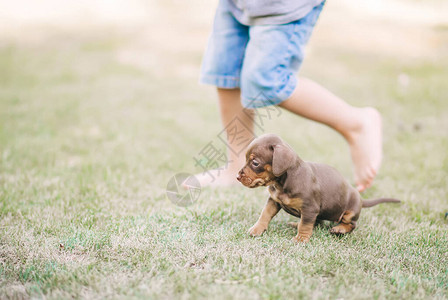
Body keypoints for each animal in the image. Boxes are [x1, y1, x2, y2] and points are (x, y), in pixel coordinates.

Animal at [236, 135, 400, 243]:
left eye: (255, 163)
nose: (237, 176)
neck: (283, 183)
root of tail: (360, 198)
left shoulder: (310, 209)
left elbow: (305, 225)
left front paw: (301, 239)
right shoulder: (273, 201)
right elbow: (265, 215)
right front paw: (257, 229)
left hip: (350, 212)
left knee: (351, 225)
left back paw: (339, 229)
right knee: (317, 222)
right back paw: (296, 223)